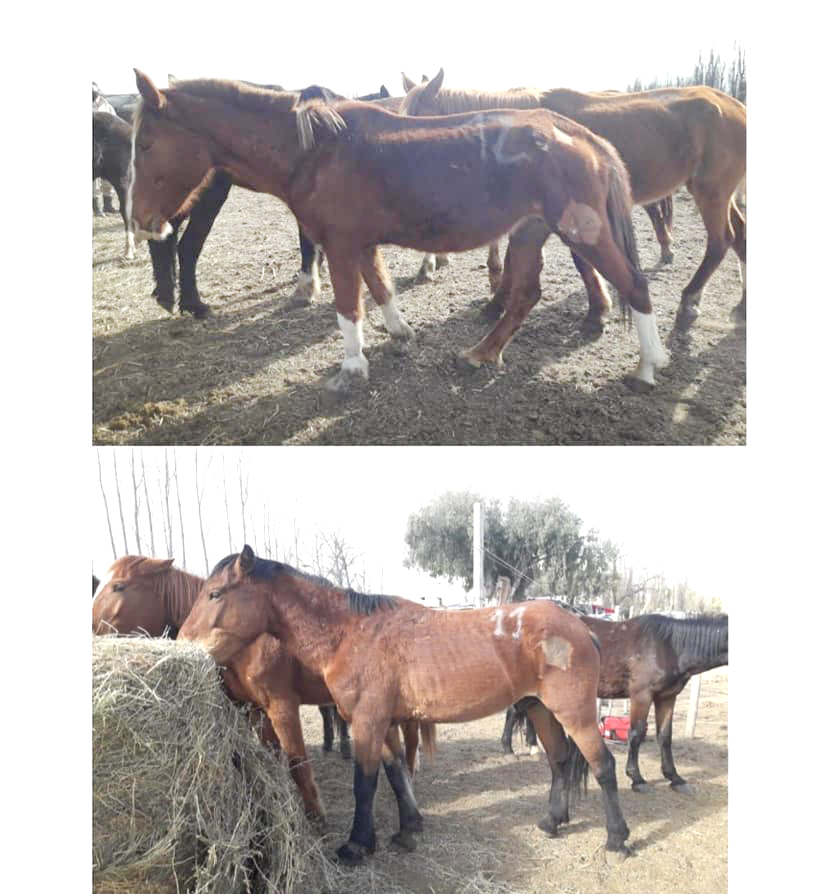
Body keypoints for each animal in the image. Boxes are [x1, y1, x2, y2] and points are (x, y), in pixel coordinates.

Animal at [92, 556, 425, 819]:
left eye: (118, 586)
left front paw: (315, 815)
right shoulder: (256, 710)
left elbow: (297, 763)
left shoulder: (281, 706)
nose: (91, 628)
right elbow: (276, 756)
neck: (252, 642)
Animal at [179, 546, 632, 865]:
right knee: (559, 762)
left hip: (575, 713)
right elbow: (396, 772)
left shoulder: (366, 722)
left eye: (215, 593)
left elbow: (365, 783)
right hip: (540, 710)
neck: (349, 633)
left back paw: (617, 838)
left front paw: (357, 845)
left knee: (603, 766)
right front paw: (408, 830)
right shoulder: (385, 722)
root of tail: (580, 626)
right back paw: (552, 822)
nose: (182, 642)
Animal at [401, 70, 746, 330]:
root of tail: (736, 105)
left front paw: (596, 311)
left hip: (711, 192)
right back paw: (742, 306)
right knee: (740, 237)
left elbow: (572, 261)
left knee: (721, 241)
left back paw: (689, 301)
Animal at [501, 612, 728, 791]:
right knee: (513, 711)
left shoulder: (667, 697)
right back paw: (508, 749)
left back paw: (532, 746)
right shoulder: (641, 695)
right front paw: (637, 778)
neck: (669, 646)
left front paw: (675, 778)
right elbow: (636, 733)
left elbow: (665, 737)